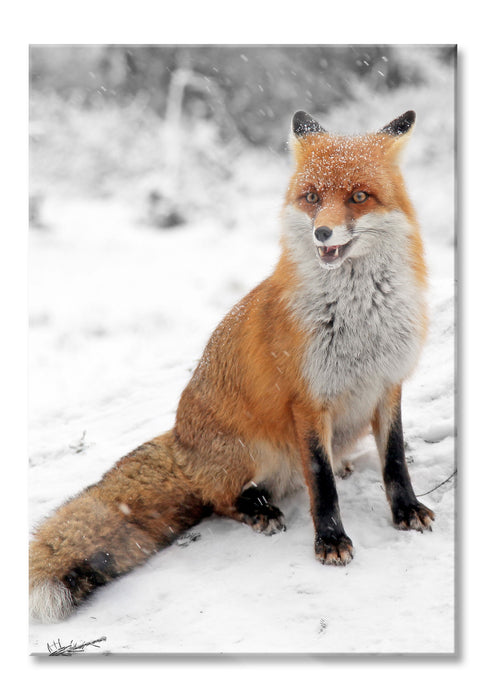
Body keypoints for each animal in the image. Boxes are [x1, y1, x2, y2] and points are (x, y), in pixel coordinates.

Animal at [30, 109, 434, 623]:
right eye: (312, 198)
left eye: (359, 197)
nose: (322, 233)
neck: (360, 320)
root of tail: (179, 441)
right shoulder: (307, 402)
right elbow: (321, 483)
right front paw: (330, 540)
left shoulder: (388, 384)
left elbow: (395, 461)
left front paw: (407, 511)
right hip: (254, 450)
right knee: (219, 499)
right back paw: (257, 509)